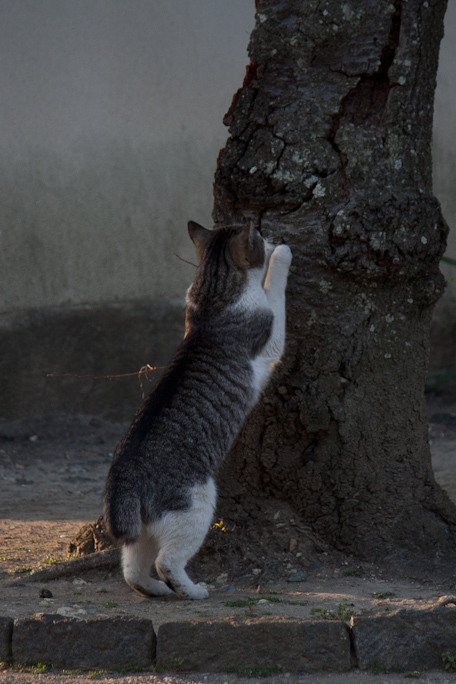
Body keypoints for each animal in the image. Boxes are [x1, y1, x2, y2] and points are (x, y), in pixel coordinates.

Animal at [102, 220, 292, 600]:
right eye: (259, 238)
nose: (271, 237)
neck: (211, 295)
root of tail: (124, 476)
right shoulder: (269, 342)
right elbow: (274, 293)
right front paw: (282, 254)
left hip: (147, 527)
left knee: (132, 567)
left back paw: (155, 589)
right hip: (196, 505)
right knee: (167, 561)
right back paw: (192, 591)